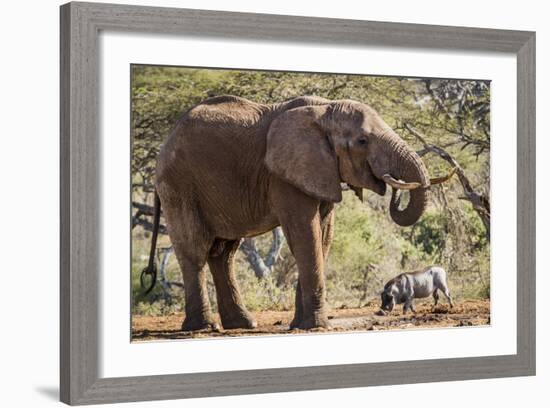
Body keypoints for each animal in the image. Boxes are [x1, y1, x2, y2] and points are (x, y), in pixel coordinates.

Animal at [141, 95, 452, 332]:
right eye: (363, 141)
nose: (391, 184)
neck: (325, 109)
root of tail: (164, 144)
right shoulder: (284, 176)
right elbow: (305, 233)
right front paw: (317, 326)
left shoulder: (321, 171)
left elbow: (323, 236)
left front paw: (300, 326)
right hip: (179, 185)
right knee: (195, 250)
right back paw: (204, 328)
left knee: (223, 253)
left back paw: (244, 325)